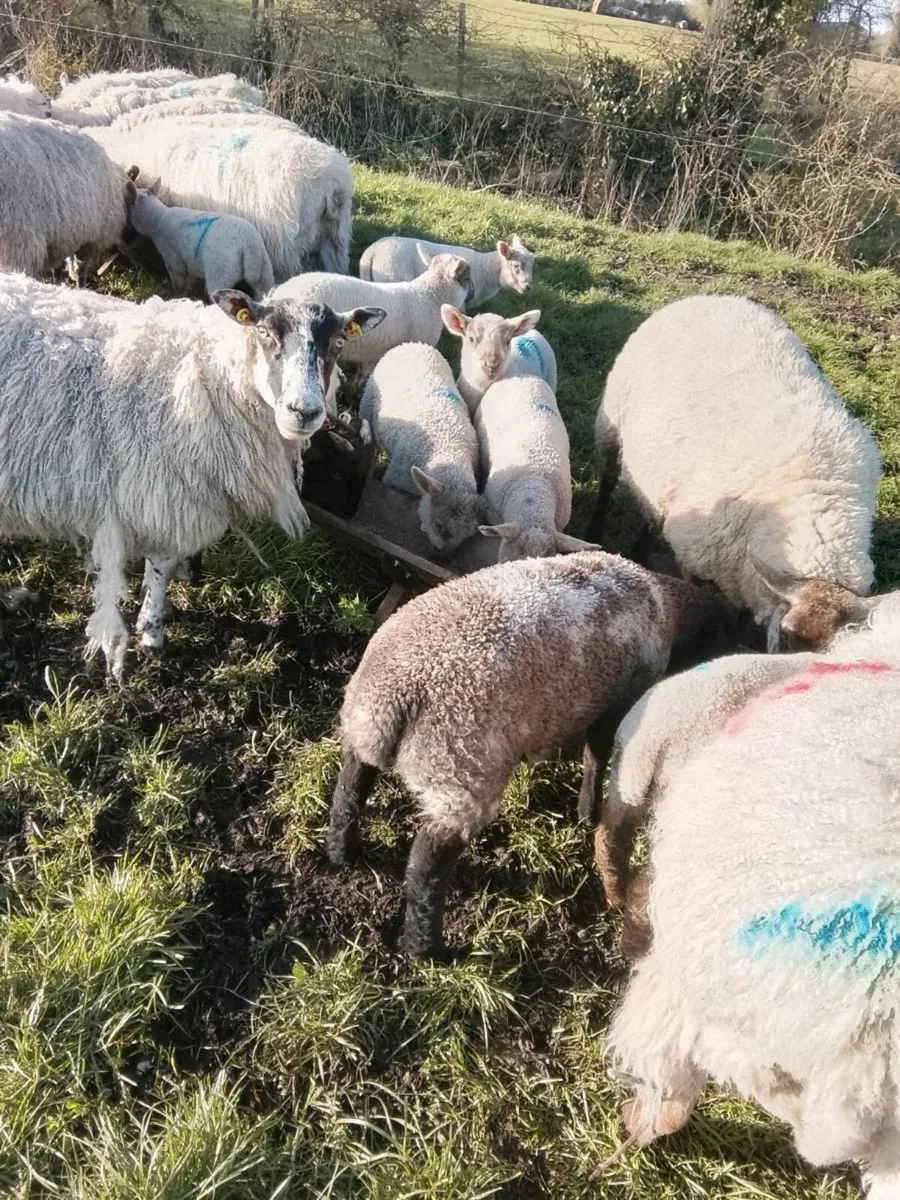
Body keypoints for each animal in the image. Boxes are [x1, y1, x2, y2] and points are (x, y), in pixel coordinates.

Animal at [0, 271, 385, 679]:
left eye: (339, 341)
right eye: (264, 332)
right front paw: (152, 630)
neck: (213, 375)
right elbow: (162, 565)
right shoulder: (165, 497)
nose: (304, 412)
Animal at [129, 184, 275, 300]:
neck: (158, 218)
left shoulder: (174, 261)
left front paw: (177, 297)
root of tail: (249, 244)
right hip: (264, 271)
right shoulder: (190, 264)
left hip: (221, 272)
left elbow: (178, 284)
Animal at [326, 550, 737, 959]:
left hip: (368, 738)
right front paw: (588, 811)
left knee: (348, 795)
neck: (667, 605)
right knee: (426, 865)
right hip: (459, 771)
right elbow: (596, 756)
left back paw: (342, 854)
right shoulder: (615, 703)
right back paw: (427, 949)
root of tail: (392, 699)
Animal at [360, 343, 484, 554]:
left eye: (468, 537)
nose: (444, 557)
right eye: (439, 525)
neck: (448, 449)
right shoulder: (395, 479)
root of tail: (413, 344)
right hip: (367, 404)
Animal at [589, 294, 882, 651]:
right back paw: (596, 530)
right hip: (612, 425)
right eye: (786, 632)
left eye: (831, 648)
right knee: (608, 483)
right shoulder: (697, 553)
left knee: (652, 513)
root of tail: (713, 297)